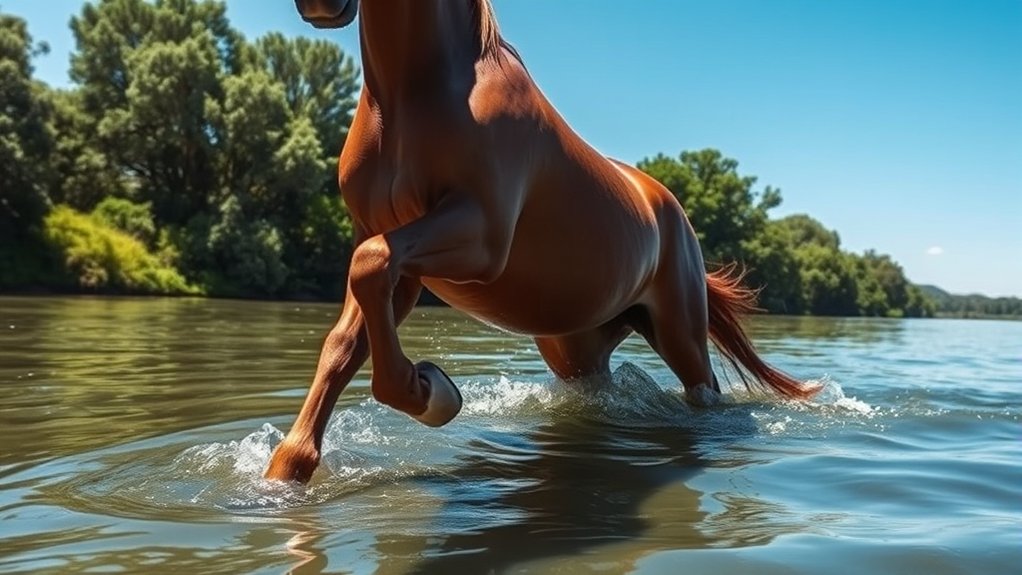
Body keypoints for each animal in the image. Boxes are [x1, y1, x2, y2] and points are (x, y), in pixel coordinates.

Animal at [266, 0, 814, 483]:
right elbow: (346, 333)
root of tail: (667, 204)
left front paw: (432, 392)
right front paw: (285, 471)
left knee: (705, 391)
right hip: (576, 349)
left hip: (681, 336)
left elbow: (373, 262)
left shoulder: (480, 239)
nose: (320, 4)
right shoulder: (396, 259)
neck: (411, 97)